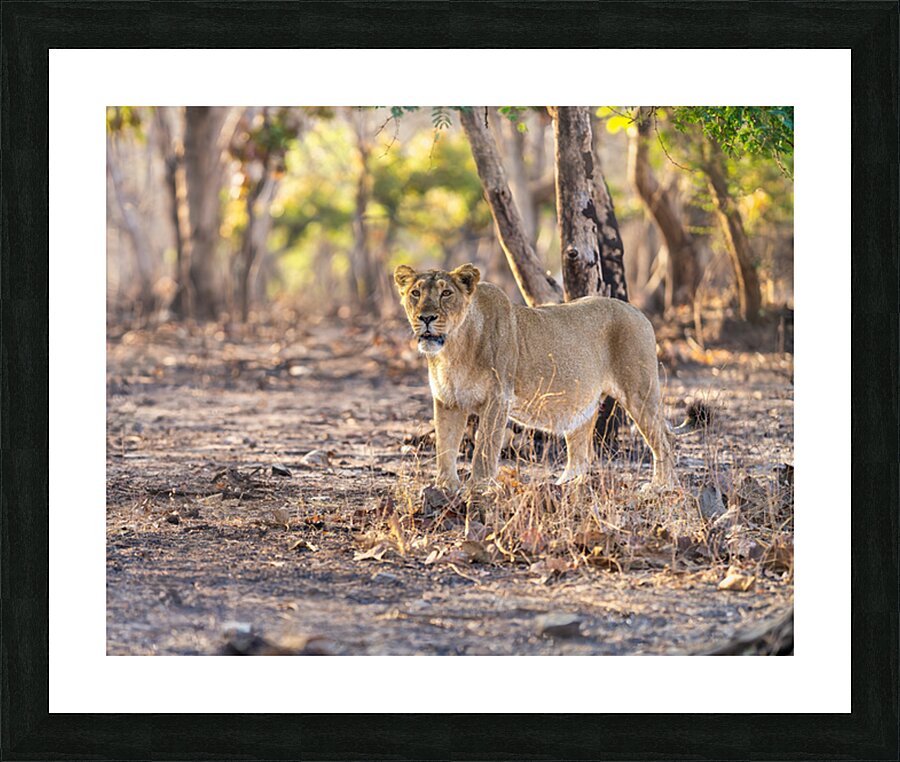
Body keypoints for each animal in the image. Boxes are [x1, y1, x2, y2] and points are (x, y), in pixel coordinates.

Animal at [394, 263, 699, 498]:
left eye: (446, 293)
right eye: (415, 293)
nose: (426, 318)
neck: (453, 350)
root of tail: (637, 311)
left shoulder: (498, 398)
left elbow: (484, 448)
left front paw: (478, 488)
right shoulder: (448, 401)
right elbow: (445, 446)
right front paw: (443, 487)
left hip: (639, 391)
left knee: (663, 438)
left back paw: (662, 487)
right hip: (583, 403)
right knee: (581, 453)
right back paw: (565, 485)